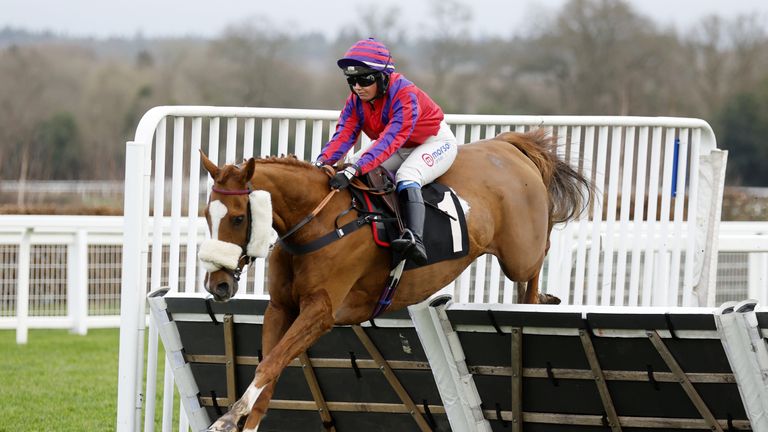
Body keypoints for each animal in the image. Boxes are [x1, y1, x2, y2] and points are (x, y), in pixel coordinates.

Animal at [196, 129, 588, 432]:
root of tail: (507, 145)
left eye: (236, 218)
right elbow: (270, 370)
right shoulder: (281, 308)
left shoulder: (320, 312)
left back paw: (541, 299)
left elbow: (270, 363)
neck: (317, 221)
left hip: (520, 253)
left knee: (537, 261)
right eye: (206, 214)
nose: (218, 285)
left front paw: (227, 419)